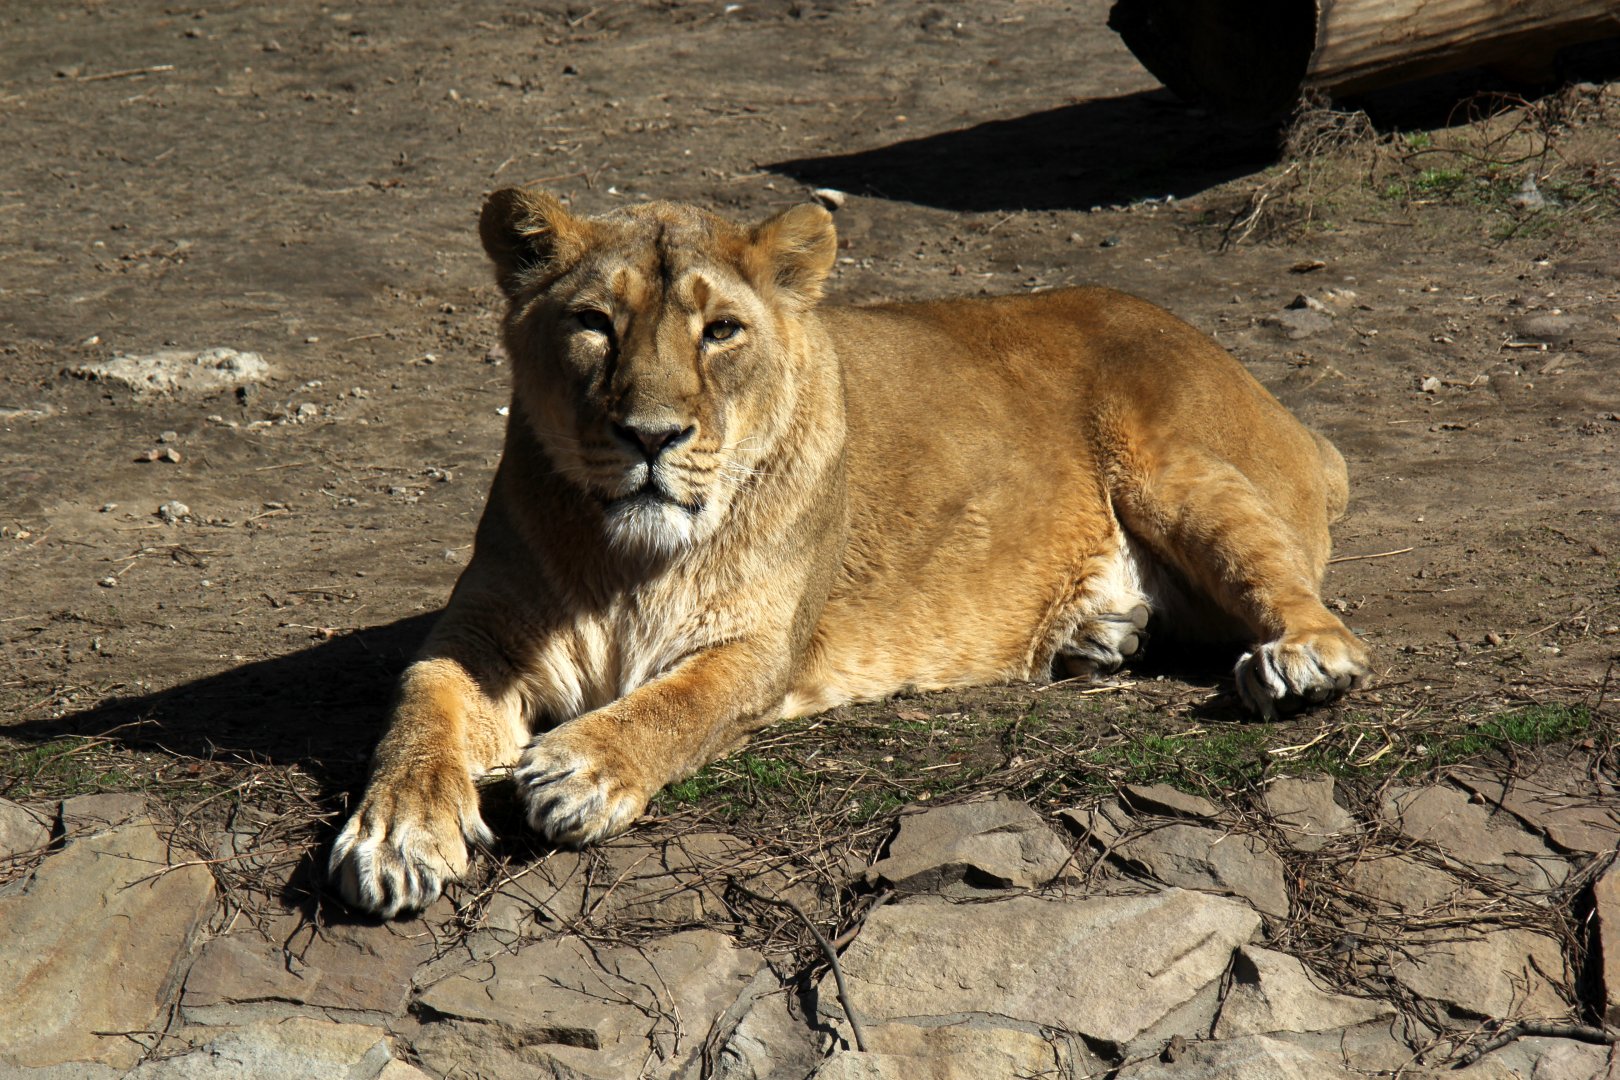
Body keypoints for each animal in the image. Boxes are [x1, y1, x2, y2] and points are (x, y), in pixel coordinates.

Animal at [330, 189, 1371, 917]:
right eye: (593, 324)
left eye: (721, 331)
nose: (651, 436)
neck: (625, 560)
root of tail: (1280, 405)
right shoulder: (481, 632)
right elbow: (419, 705)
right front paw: (394, 835)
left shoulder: (761, 646)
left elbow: (677, 704)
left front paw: (577, 771)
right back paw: (1100, 636)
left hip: (1176, 465)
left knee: (1311, 607)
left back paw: (1298, 663)